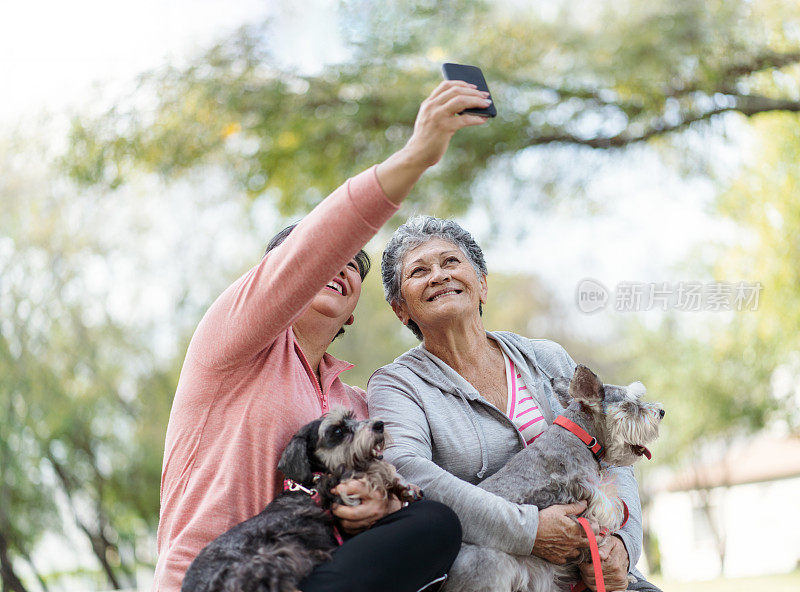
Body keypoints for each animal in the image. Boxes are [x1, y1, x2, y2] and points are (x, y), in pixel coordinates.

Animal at [180, 408, 418, 592]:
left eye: (352, 418)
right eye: (337, 431)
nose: (379, 425)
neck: (309, 487)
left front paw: (406, 489)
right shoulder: (343, 493)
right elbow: (370, 470)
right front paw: (396, 482)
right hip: (271, 559)